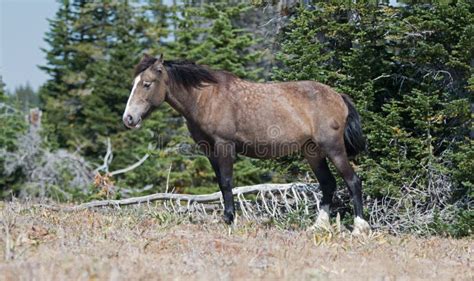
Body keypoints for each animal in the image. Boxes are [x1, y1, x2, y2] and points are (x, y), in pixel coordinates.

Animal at [122, 53, 370, 233]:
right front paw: (226, 218)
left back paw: (359, 227)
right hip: (313, 152)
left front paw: (229, 219)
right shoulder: (209, 150)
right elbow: (221, 183)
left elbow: (227, 182)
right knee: (328, 184)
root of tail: (339, 97)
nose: (129, 118)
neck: (206, 98)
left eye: (147, 84)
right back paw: (318, 226)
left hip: (333, 148)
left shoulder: (224, 145)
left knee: (352, 181)